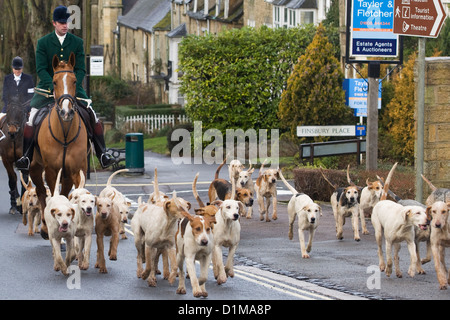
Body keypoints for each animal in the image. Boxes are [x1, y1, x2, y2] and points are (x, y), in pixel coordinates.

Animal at [29, 52, 88, 239]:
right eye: (54, 82)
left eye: (75, 81)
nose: (66, 112)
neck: (65, 133)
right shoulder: (51, 170)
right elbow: (51, 195)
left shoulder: (77, 170)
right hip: (35, 168)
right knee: (41, 192)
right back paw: (45, 227)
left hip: (67, 175)